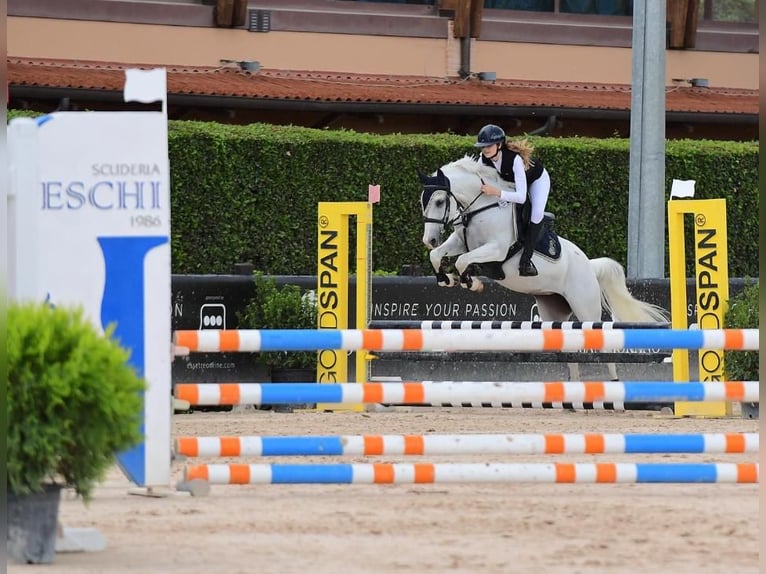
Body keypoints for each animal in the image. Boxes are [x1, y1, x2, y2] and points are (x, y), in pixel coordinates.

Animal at [420, 158, 672, 382]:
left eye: (440, 201)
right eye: (423, 202)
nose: (429, 240)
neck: (482, 208)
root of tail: (589, 266)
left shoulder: (496, 249)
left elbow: (462, 261)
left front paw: (471, 282)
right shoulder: (460, 242)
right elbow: (439, 255)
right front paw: (446, 278)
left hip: (585, 307)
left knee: (602, 344)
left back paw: (613, 384)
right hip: (554, 311)